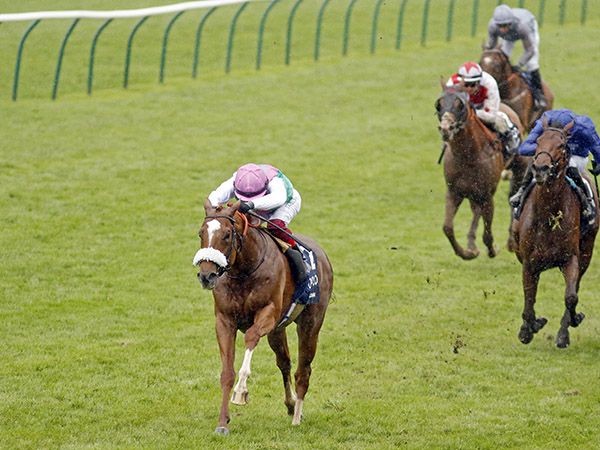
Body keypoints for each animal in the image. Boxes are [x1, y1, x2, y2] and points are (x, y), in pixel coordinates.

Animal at [193, 199, 332, 434]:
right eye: (201, 232)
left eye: (227, 235)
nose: (206, 275)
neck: (244, 270)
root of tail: (322, 255)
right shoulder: (224, 321)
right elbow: (226, 373)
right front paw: (222, 423)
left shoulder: (268, 314)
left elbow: (250, 337)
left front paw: (241, 392)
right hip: (277, 331)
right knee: (284, 363)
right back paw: (291, 404)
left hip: (310, 322)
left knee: (303, 371)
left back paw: (297, 416)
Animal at [436, 85, 524, 258]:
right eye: (439, 105)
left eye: (460, 105)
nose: (445, 129)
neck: (468, 156)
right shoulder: (454, 192)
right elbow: (447, 228)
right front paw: (467, 252)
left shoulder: (487, 195)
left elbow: (487, 234)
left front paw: (492, 250)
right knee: (476, 210)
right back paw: (471, 243)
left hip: (519, 167)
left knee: (514, 195)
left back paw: (511, 241)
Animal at [510, 119, 600, 348]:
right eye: (538, 141)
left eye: (561, 145)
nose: (540, 168)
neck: (549, 215)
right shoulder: (529, 262)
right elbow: (529, 296)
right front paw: (528, 328)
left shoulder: (571, 259)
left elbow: (571, 297)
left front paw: (570, 325)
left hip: (587, 251)